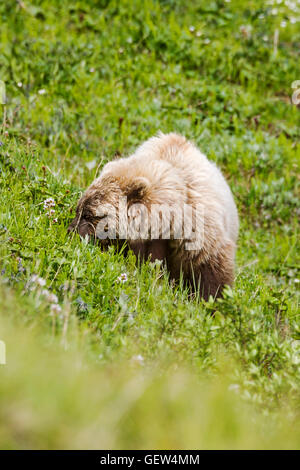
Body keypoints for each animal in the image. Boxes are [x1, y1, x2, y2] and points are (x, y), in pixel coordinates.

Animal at [68, 134, 239, 300]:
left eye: (89, 214)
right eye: (78, 209)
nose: (71, 230)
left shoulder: (200, 233)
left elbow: (211, 271)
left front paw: (207, 300)